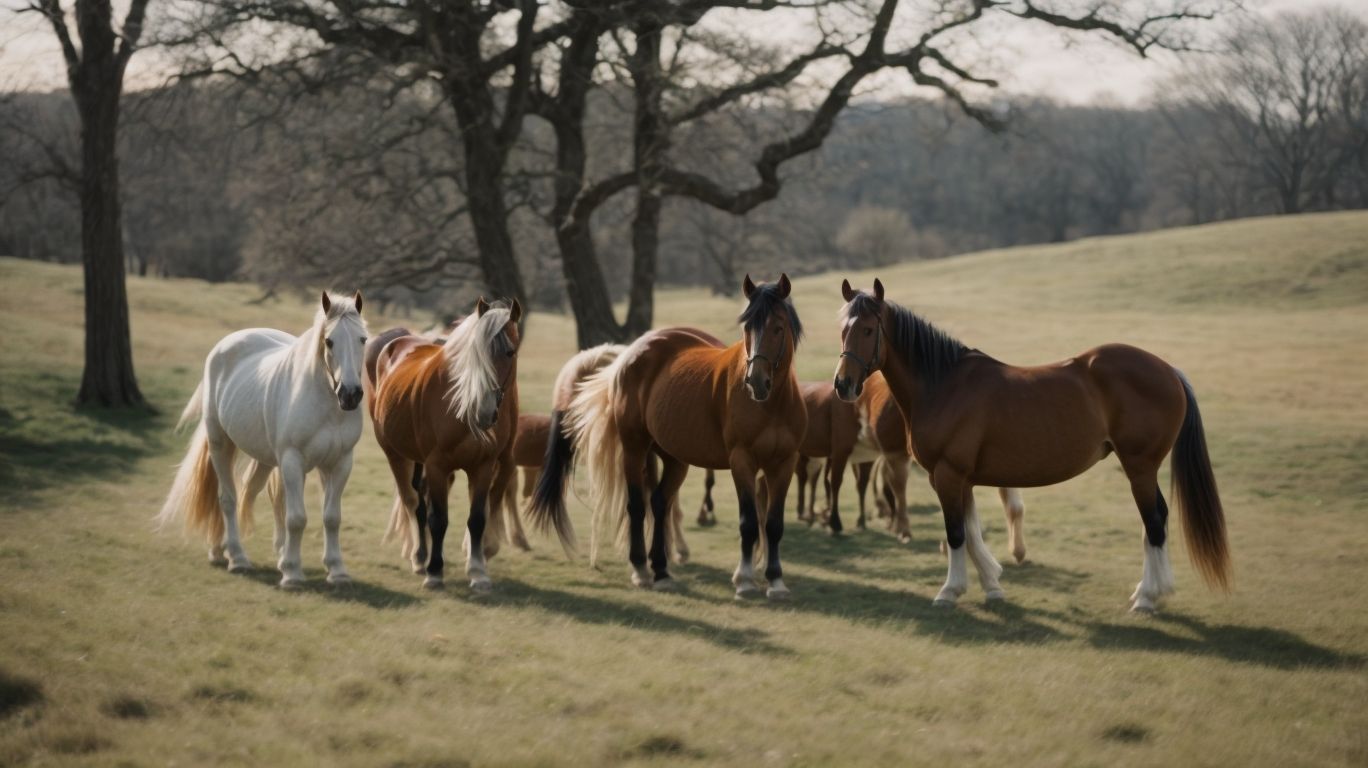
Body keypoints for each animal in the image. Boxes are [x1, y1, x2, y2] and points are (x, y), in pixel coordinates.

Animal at [158, 292, 368, 589]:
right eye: (329, 341)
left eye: (363, 339)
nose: (350, 394)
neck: (326, 405)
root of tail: (225, 345)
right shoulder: (292, 461)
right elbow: (297, 518)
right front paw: (292, 574)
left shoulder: (339, 463)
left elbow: (331, 517)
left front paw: (337, 570)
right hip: (220, 444)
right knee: (227, 499)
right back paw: (236, 557)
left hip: (265, 458)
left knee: (256, 492)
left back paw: (223, 550)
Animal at [366, 298, 572, 592]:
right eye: (474, 354)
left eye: (510, 352)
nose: (484, 412)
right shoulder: (438, 467)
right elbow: (438, 519)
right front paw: (435, 572)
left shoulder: (484, 467)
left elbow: (477, 519)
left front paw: (478, 572)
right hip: (395, 454)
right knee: (411, 501)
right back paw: (420, 558)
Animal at [532, 275, 807, 599]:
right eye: (747, 327)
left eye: (778, 327)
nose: (756, 382)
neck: (771, 406)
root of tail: (627, 356)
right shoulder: (742, 462)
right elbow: (749, 523)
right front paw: (745, 581)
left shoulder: (783, 464)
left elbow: (774, 524)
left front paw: (776, 581)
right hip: (634, 448)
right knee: (638, 505)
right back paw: (641, 569)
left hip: (674, 458)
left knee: (660, 503)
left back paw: (662, 570)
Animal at [834, 279, 1230, 612]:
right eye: (842, 329)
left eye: (868, 329)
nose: (843, 385)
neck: (944, 384)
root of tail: (1169, 371)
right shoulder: (960, 479)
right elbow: (972, 532)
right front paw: (992, 585)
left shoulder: (948, 474)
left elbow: (957, 534)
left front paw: (950, 591)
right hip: (1141, 469)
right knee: (1155, 520)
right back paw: (1150, 591)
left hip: (1140, 467)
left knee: (1155, 522)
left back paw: (1147, 598)